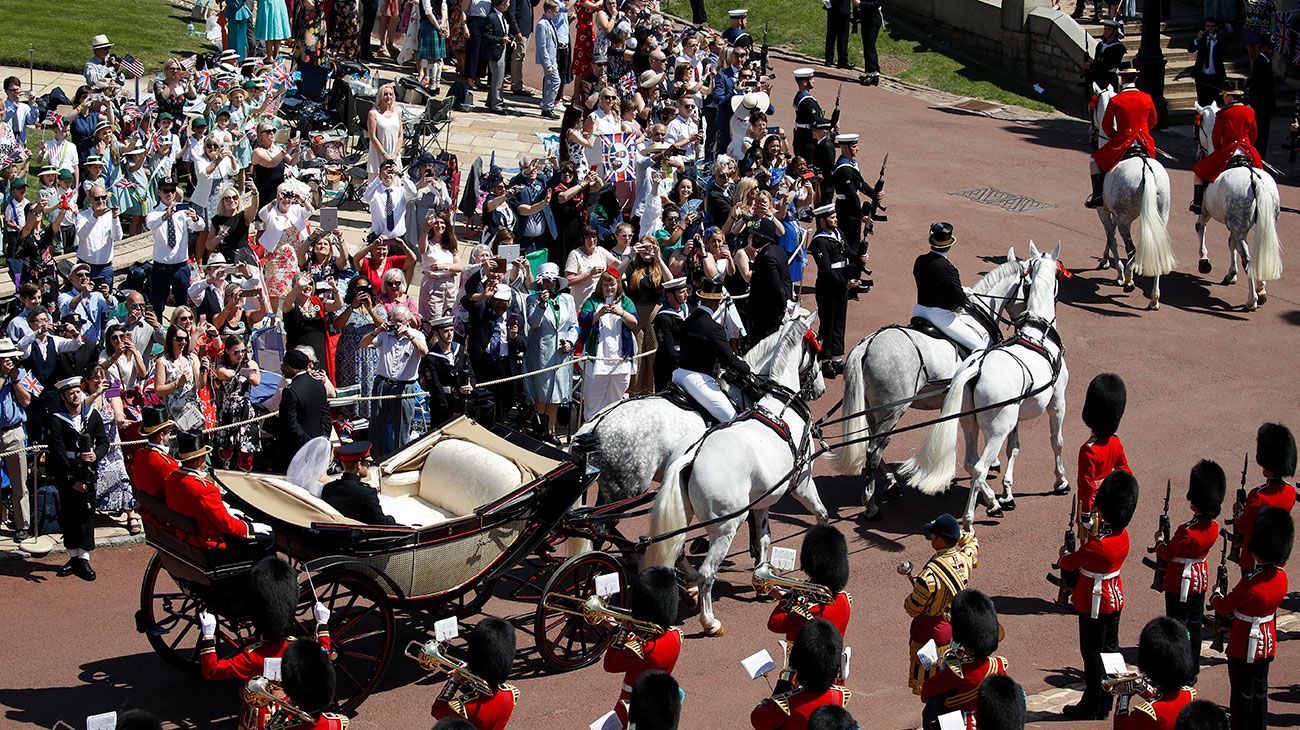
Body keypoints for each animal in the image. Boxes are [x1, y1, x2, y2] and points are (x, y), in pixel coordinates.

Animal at [644, 309, 826, 633]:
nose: (821, 388)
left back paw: (689, 585)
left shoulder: (763, 501)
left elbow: (764, 539)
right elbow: (821, 515)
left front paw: (765, 581)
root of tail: (691, 455)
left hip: (686, 516)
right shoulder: (802, 484)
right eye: (817, 348)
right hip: (727, 526)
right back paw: (709, 620)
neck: (781, 406)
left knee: (678, 551)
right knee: (707, 572)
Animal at [826, 253, 1029, 514]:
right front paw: (991, 479)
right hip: (892, 411)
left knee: (872, 445)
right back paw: (871, 505)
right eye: (1029, 286)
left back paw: (891, 484)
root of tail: (868, 344)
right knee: (874, 449)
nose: (1026, 322)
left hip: (873, 410)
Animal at [899, 244, 1071, 522]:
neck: (1038, 335)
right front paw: (1061, 481)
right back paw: (971, 518)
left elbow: (1014, 448)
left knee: (971, 461)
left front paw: (1007, 491)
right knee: (979, 466)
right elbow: (1057, 441)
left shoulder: (1015, 416)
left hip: (970, 423)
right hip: (995, 429)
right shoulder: (1057, 402)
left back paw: (991, 501)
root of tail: (977, 368)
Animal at [1097, 156, 1180, 306]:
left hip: (1125, 219)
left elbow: (1111, 238)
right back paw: (1154, 298)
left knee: (1131, 249)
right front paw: (1106, 259)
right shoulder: (1114, 215)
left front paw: (1119, 272)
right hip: (1161, 216)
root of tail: (1146, 170)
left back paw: (1128, 280)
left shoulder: (1103, 211)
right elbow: (1111, 235)